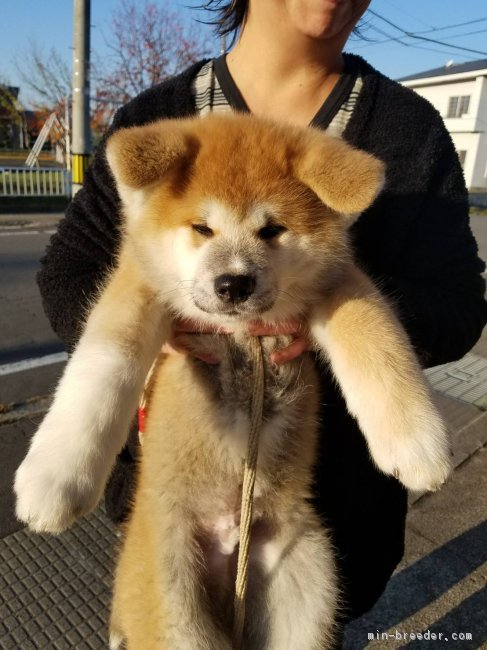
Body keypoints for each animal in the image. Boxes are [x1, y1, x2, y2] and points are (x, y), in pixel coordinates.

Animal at [15, 114, 452, 644]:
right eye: (202, 228)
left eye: (273, 230)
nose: (234, 283)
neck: (243, 335)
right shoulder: (140, 290)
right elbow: (100, 368)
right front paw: (53, 479)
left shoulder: (340, 286)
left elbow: (378, 343)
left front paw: (417, 447)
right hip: (175, 612)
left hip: (305, 583)